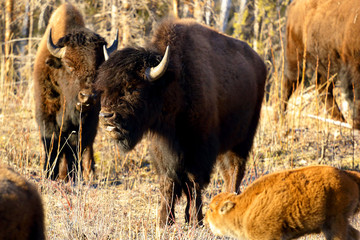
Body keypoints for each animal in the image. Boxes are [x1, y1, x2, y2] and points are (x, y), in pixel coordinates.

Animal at [33, 2, 117, 180]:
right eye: (69, 65)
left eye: (99, 66)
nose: (88, 96)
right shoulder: (46, 117)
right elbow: (51, 145)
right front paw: (49, 174)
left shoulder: (85, 123)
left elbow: (74, 149)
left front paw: (71, 176)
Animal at [282, 0, 360, 129]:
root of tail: (293, 5)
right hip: (296, 56)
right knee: (288, 85)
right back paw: (279, 120)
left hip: (325, 63)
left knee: (322, 86)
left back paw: (340, 120)